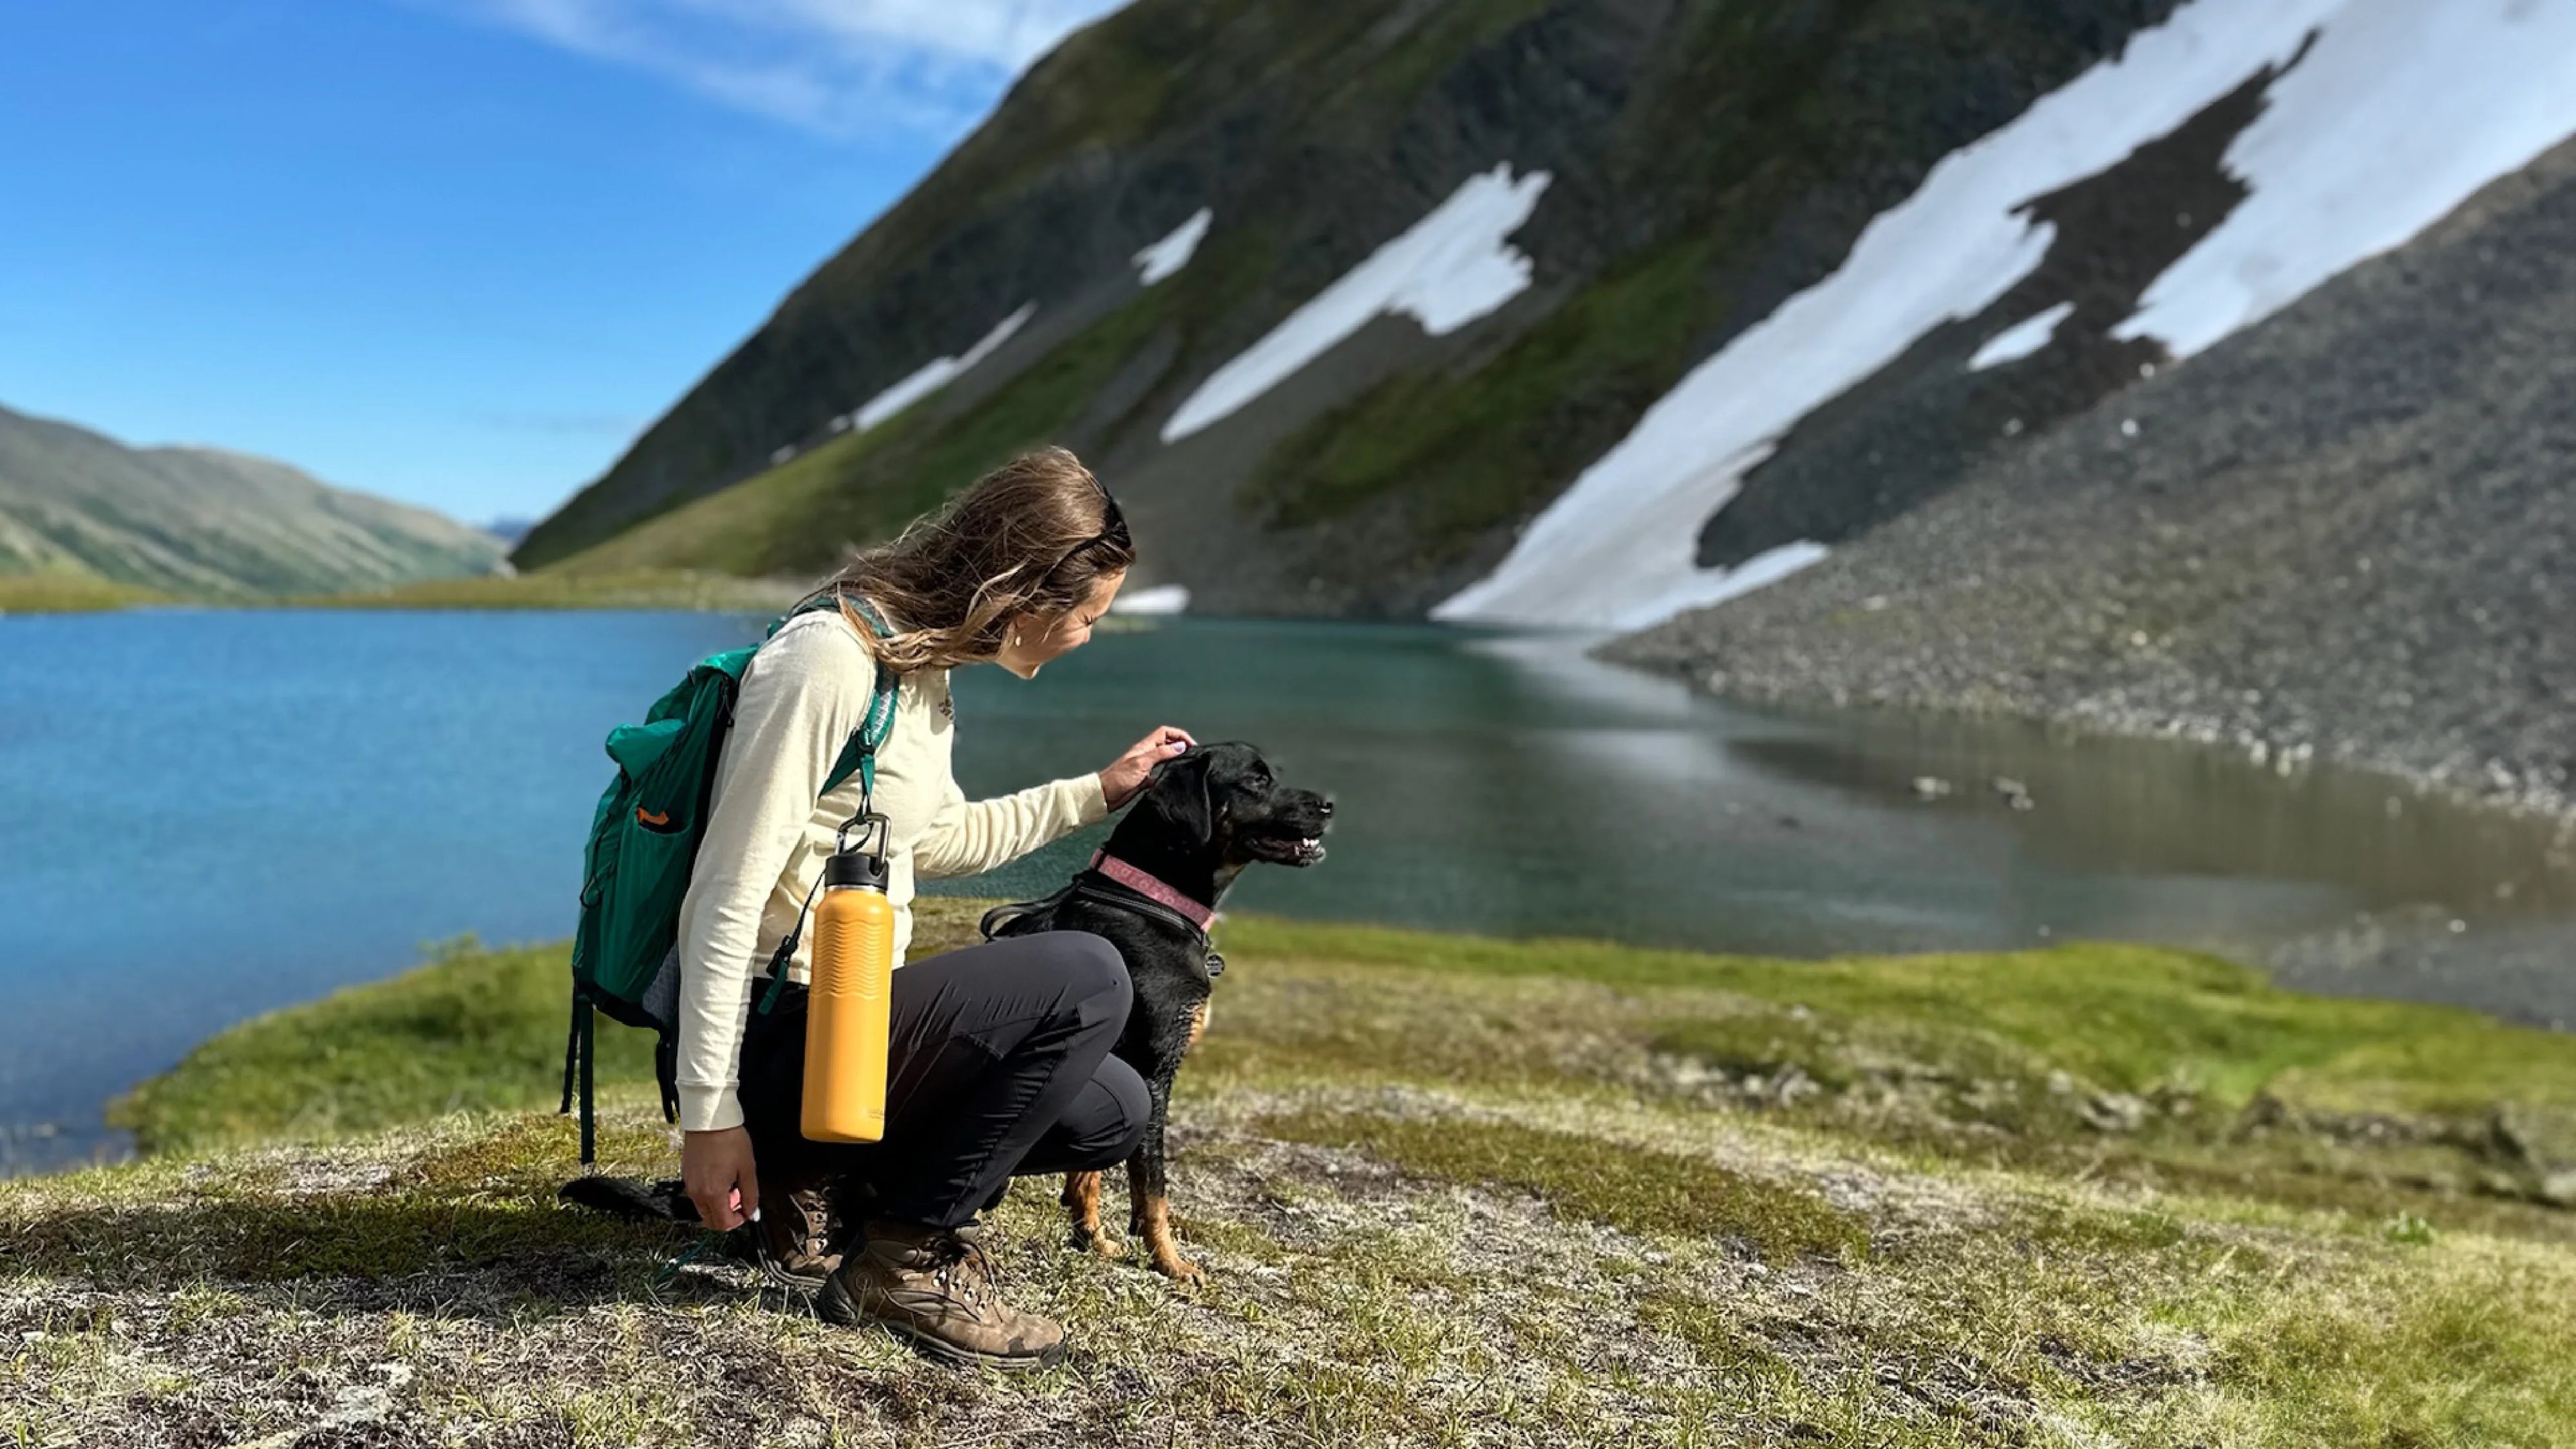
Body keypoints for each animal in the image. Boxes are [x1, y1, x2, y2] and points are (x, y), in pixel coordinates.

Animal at [979, 737, 1339, 1268]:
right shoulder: (1153, 1071)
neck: (1153, 903)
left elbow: (1090, 1176)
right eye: (1257, 781)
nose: (1330, 805)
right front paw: (1170, 1262)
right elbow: (1153, 1185)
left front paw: (1093, 1238)